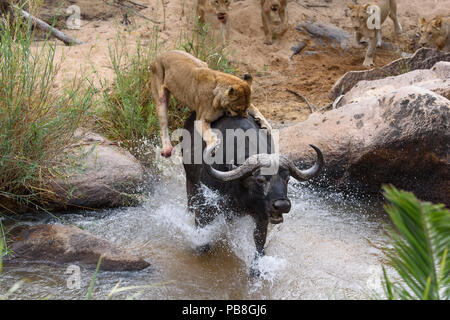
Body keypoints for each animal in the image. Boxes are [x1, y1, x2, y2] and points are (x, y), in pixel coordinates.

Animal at [181, 112, 322, 276]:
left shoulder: (261, 217)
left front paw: (256, 269)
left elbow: (259, 242)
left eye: (287, 179)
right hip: (190, 183)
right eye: (260, 179)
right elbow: (202, 236)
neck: (240, 193)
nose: (282, 205)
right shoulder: (205, 206)